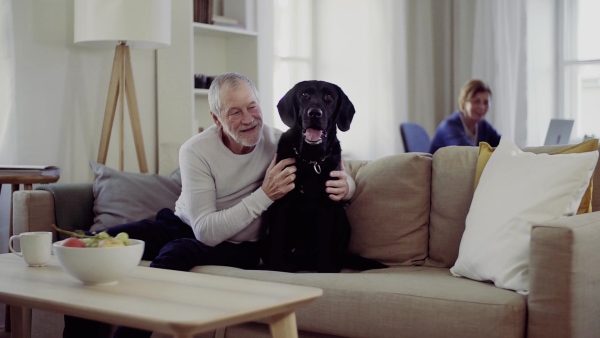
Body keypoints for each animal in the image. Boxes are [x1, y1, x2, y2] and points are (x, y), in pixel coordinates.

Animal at [264, 80, 390, 272]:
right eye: (304, 95)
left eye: (329, 97)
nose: (315, 113)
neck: (310, 159)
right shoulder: (282, 200)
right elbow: (278, 237)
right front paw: (276, 267)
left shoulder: (327, 203)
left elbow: (324, 239)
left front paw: (325, 268)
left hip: (342, 218)